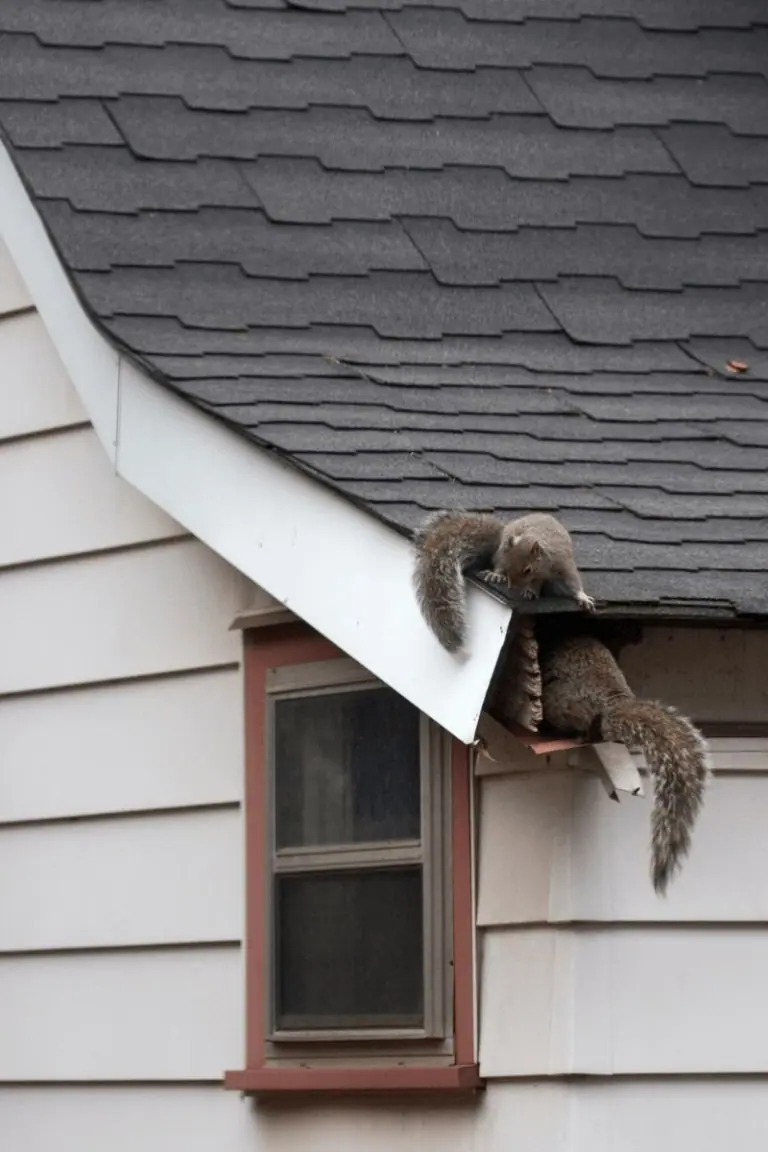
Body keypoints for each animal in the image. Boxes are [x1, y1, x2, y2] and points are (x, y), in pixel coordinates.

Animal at [413, 510, 594, 654]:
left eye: (527, 570)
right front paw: (500, 576)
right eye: (509, 568)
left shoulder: (562, 563)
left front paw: (583, 597)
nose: (512, 586)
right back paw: (496, 576)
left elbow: (572, 581)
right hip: (501, 550)